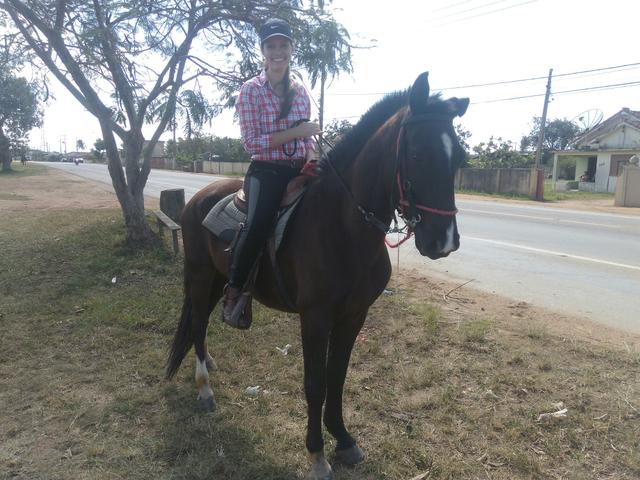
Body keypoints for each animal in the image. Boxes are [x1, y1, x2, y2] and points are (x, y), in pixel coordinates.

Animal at [166, 72, 469, 480]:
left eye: (459, 157)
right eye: (417, 153)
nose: (444, 241)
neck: (344, 224)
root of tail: (200, 197)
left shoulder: (354, 315)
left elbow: (337, 376)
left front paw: (343, 439)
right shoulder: (315, 317)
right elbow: (315, 383)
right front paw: (317, 454)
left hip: (217, 279)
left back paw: (210, 364)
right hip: (199, 276)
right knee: (197, 323)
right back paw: (204, 388)